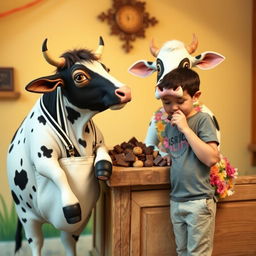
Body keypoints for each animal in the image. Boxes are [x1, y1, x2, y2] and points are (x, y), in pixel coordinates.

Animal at [7, 37, 132, 256]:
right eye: (79, 76)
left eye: (105, 68)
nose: (125, 92)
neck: (78, 128)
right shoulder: (43, 157)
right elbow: (58, 173)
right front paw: (71, 204)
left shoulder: (99, 142)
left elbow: (102, 152)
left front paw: (103, 168)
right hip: (27, 215)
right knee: (36, 243)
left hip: (73, 228)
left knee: (67, 242)